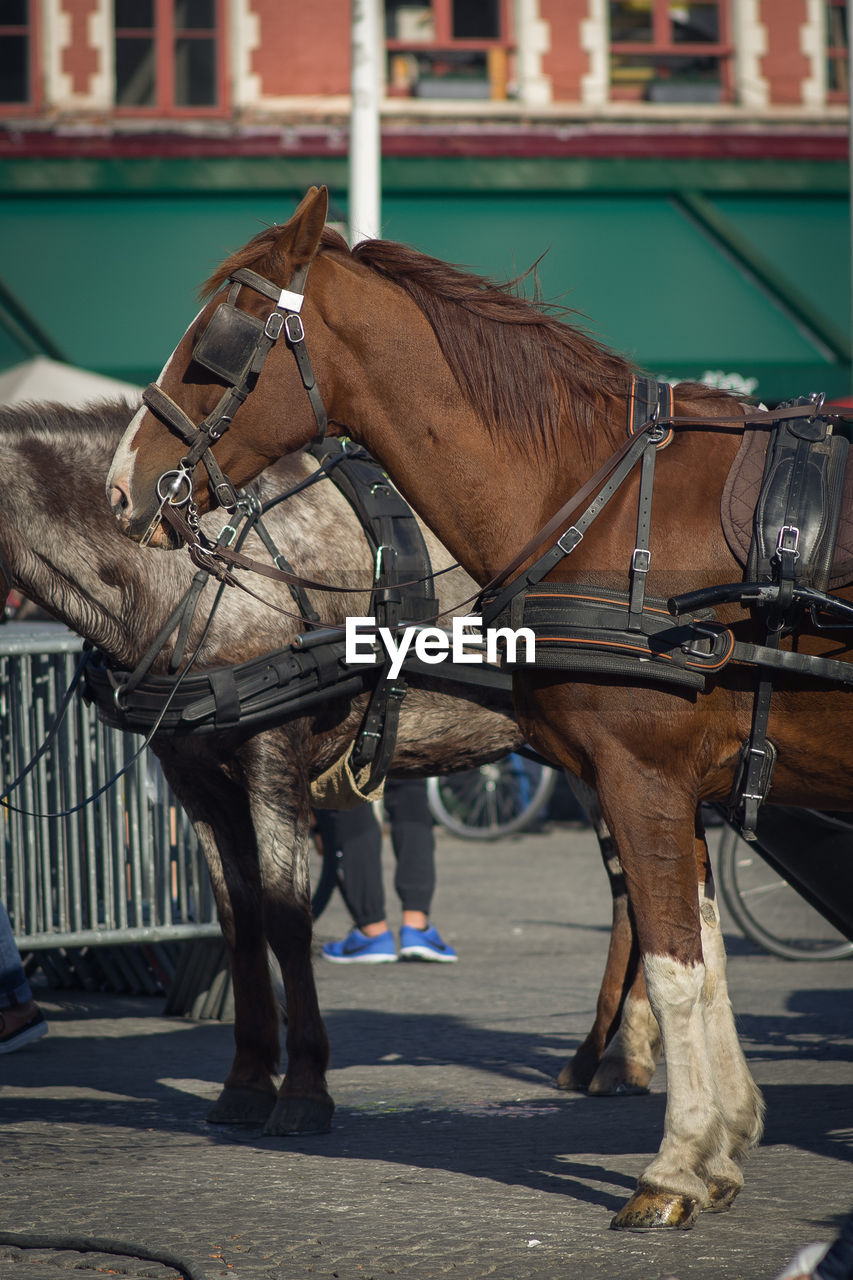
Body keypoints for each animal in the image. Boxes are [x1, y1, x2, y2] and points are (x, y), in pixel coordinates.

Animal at [106, 185, 850, 1223]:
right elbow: (704, 957)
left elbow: (674, 965)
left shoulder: (642, 778)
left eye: (217, 343)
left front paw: (673, 1166)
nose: (119, 485)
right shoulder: (674, 784)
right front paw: (721, 1145)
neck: (598, 505)